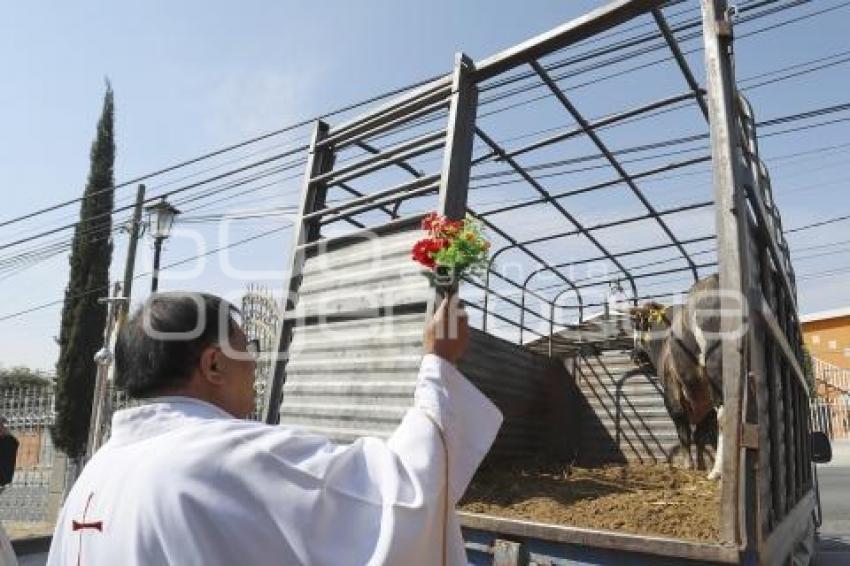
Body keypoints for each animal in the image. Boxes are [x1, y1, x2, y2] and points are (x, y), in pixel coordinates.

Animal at [628, 272, 724, 482]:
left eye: (637, 324)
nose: (633, 355)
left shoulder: (672, 394)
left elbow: (683, 432)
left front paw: (688, 465)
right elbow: (699, 435)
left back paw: (716, 472)